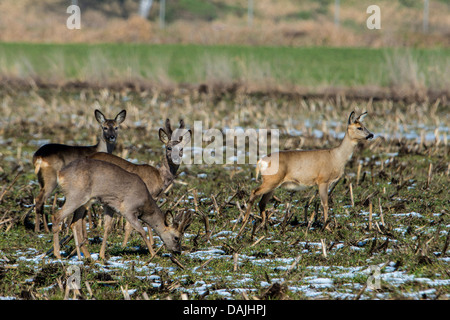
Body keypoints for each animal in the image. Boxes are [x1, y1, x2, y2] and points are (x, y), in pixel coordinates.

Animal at [51, 158, 192, 260]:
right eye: (176, 237)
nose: (178, 251)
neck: (145, 202)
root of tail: (60, 174)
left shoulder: (109, 205)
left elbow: (107, 229)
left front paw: (102, 255)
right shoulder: (128, 209)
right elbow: (141, 231)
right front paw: (154, 254)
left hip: (82, 201)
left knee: (74, 223)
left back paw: (86, 256)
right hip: (76, 196)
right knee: (57, 216)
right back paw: (58, 254)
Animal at [80, 119, 192, 258]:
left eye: (181, 148)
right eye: (168, 147)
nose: (175, 159)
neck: (159, 177)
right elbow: (137, 225)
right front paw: (129, 245)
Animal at [239, 111, 372, 236]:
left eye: (364, 125)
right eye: (359, 127)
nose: (371, 135)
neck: (337, 157)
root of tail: (261, 161)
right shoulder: (323, 180)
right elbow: (325, 204)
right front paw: (327, 227)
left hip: (273, 183)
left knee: (262, 202)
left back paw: (263, 227)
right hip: (271, 181)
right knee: (254, 192)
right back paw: (243, 225)